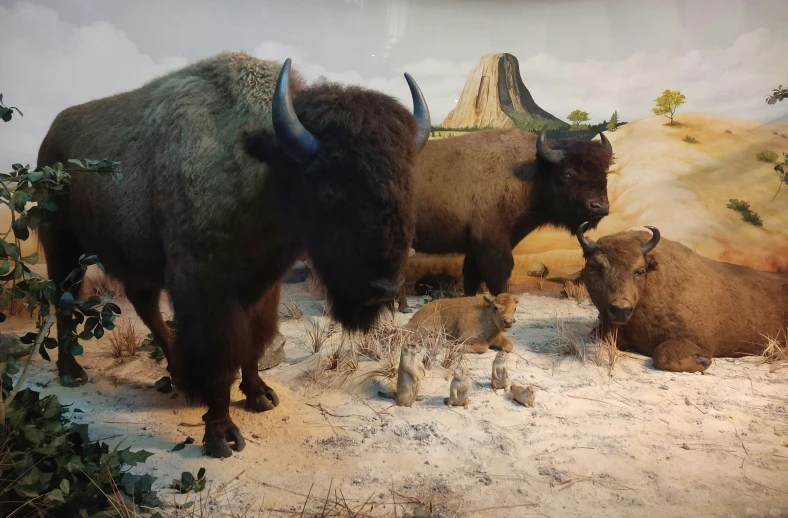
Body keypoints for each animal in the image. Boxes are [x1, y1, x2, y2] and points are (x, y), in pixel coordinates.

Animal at [35, 51, 430, 460]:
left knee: (143, 306)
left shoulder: (262, 285)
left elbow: (254, 343)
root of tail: (49, 138)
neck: (263, 169)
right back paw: (72, 373)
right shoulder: (205, 288)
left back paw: (178, 375)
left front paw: (260, 396)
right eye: (329, 190)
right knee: (64, 301)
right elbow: (221, 355)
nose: (385, 288)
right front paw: (221, 434)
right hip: (63, 246)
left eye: (407, 182)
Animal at [398, 126, 612, 312]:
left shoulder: (480, 247)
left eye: (604, 172)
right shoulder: (492, 242)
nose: (600, 206)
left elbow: (472, 277)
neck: (533, 173)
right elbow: (499, 275)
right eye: (568, 172)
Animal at [576, 223, 788, 374]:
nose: (620, 310)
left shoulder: (697, 341)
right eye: (593, 266)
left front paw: (702, 362)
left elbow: (661, 355)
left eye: (639, 271)